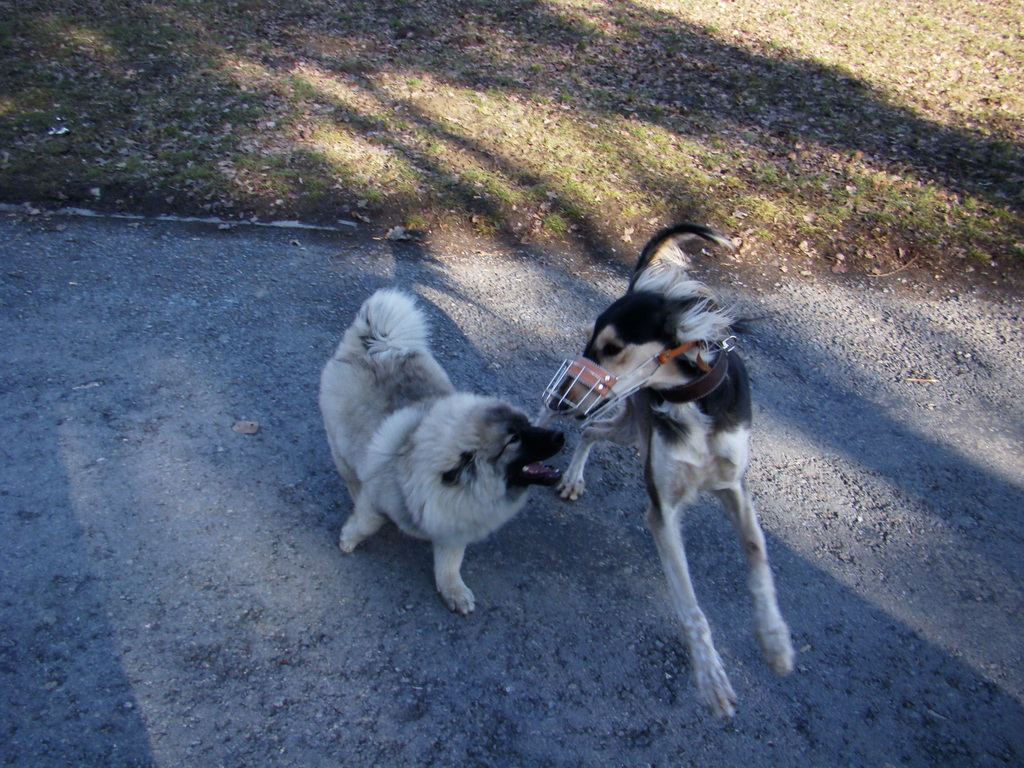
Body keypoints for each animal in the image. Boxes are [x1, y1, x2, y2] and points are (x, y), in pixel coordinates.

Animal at [540, 224, 794, 720]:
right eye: (589, 343)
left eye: (612, 348)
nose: (559, 397)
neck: (695, 403)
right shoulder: (664, 512)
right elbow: (693, 609)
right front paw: (711, 676)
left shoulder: (734, 488)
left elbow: (758, 556)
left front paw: (774, 640)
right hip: (629, 425)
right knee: (588, 430)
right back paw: (568, 471)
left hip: (629, 427)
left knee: (592, 430)